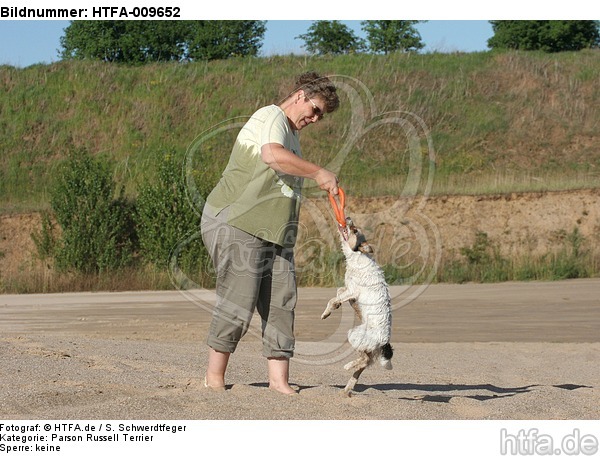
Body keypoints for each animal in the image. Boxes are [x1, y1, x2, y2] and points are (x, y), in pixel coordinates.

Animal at [318, 217, 394, 396]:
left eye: (354, 230)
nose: (348, 218)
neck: (357, 255)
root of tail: (384, 342)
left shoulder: (353, 290)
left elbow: (333, 299)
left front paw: (327, 313)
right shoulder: (348, 290)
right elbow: (338, 293)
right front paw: (336, 306)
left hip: (354, 335)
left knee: (363, 361)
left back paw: (347, 366)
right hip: (368, 350)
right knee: (363, 365)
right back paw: (347, 388)